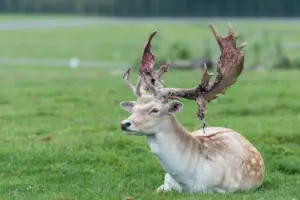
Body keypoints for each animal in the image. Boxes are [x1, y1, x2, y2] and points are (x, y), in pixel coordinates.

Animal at [118, 22, 264, 194]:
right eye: (133, 109)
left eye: (155, 110)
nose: (124, 124)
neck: (187, 182)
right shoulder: (165, 183)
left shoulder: (227, 188)